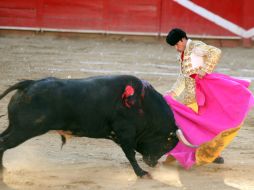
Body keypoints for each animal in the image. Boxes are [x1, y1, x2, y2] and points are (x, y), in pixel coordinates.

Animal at [0, 75, 194, 177]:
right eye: (167, 143)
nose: (153, 164)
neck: (143, 105)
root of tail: (29, 84)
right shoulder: (125, 133)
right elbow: (130, 154)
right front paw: (141, 173)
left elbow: (129, 153)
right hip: (24, 130)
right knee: (4, 144)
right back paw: (3, 169)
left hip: (15, 127)